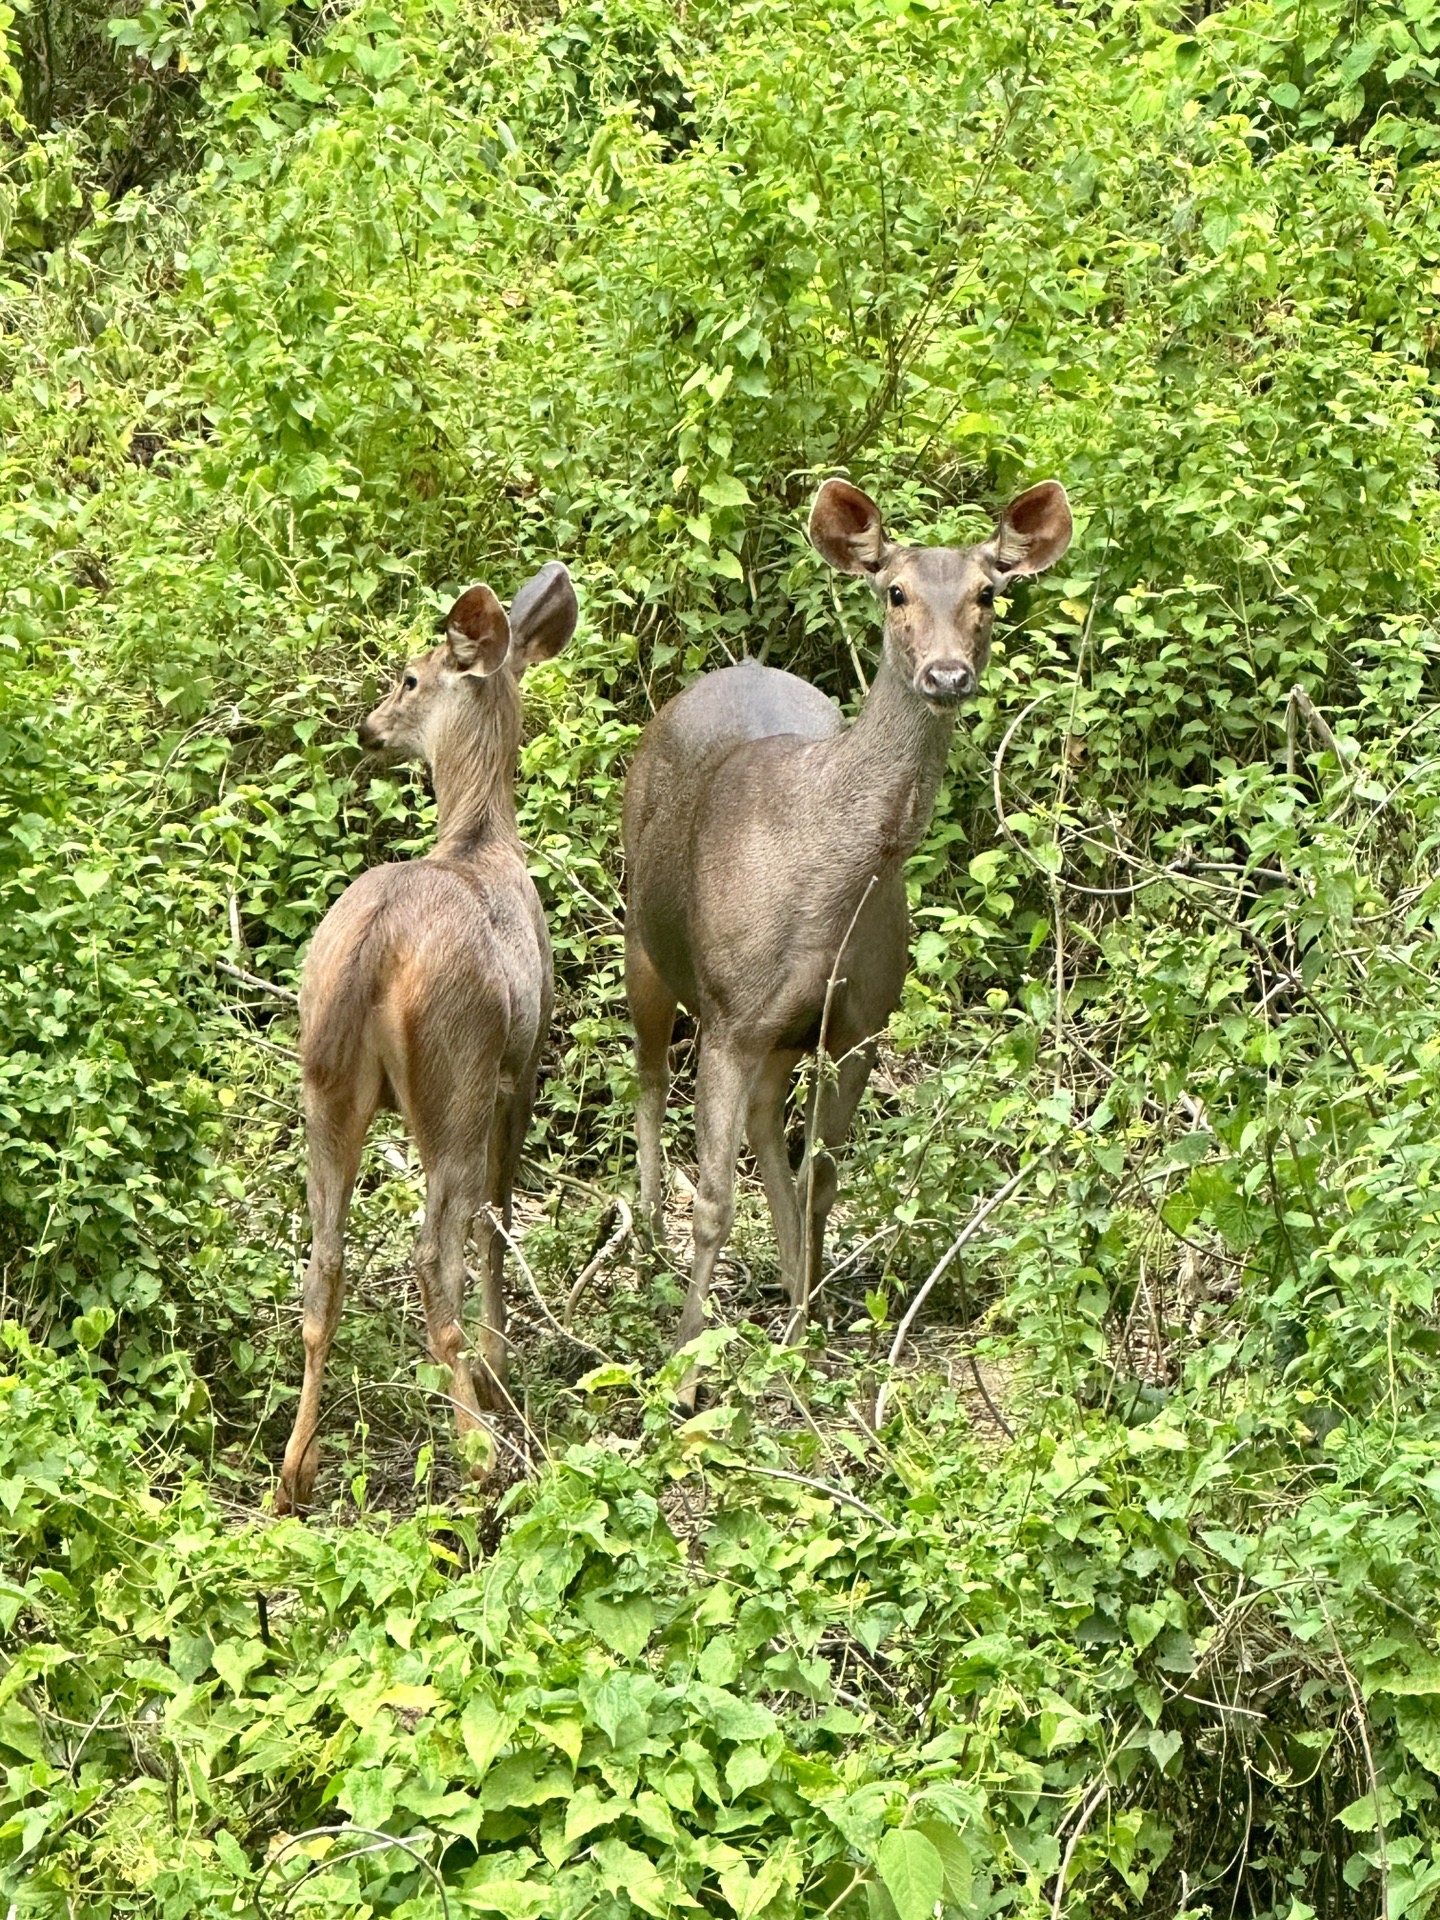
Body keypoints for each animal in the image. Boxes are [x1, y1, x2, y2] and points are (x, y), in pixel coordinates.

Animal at [274, 560, 576, 1512]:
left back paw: (294, 1473)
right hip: (455, 1071)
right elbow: (500, 1215)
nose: (368, 727)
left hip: (326, 1081)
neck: (480, 838)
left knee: (324, 1262)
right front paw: (500, 1366)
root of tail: (373, 950)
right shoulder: (523, 1062)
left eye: (407, 679)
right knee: (429, 1252)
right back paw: (479, 1451)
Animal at [625, 476, 1075, 1382]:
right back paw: (648, 1236)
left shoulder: (860, 1020)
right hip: (642, 935)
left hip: (781, 1033)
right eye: (895, 590)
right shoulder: (730, 1014)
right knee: (648, 1076)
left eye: (988, 592)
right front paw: (686, 1364)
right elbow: (715, 1198)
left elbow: (821, 1178)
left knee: (767, 1128)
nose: (947, 672)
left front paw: (807, 1327)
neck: (828, 888)